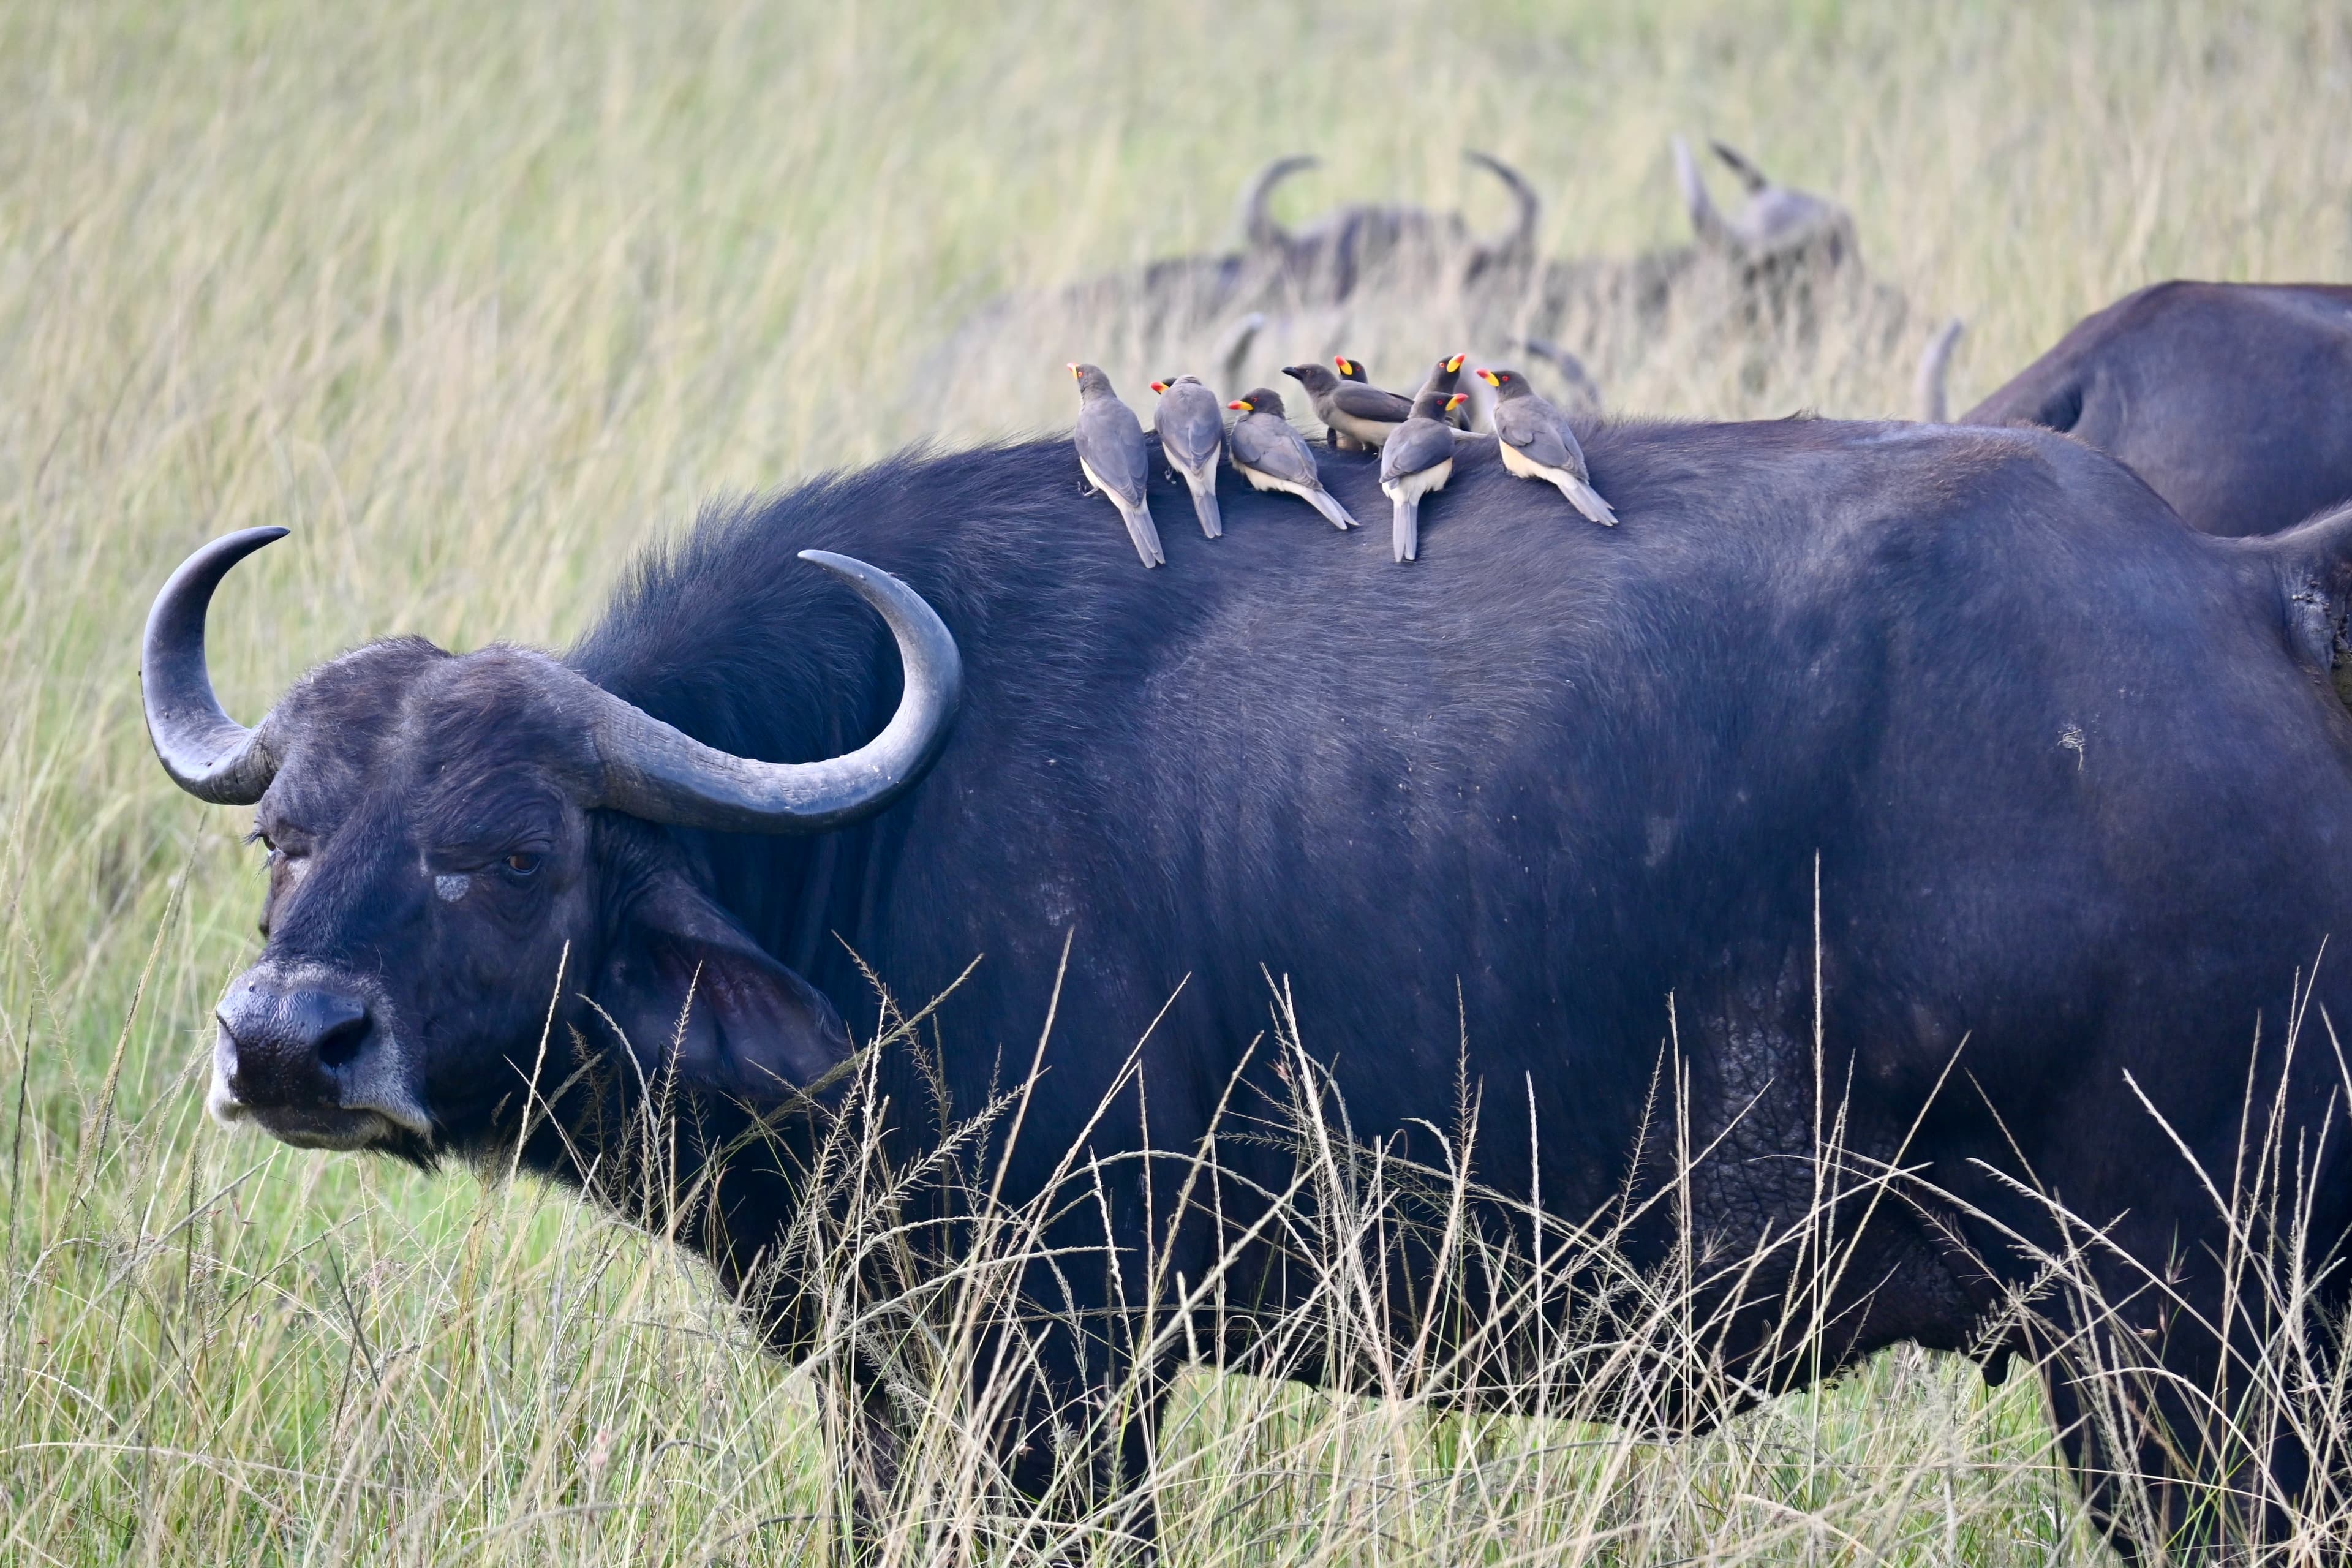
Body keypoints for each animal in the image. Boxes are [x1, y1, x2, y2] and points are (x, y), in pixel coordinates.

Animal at [149, 419, 2352, 1559]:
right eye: (290, 837)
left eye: (519, 852)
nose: (287, 1045)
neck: (881, 836)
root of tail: (2241, 595)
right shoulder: (886, 1366)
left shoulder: (1066, 1358)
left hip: (2193, 1341)